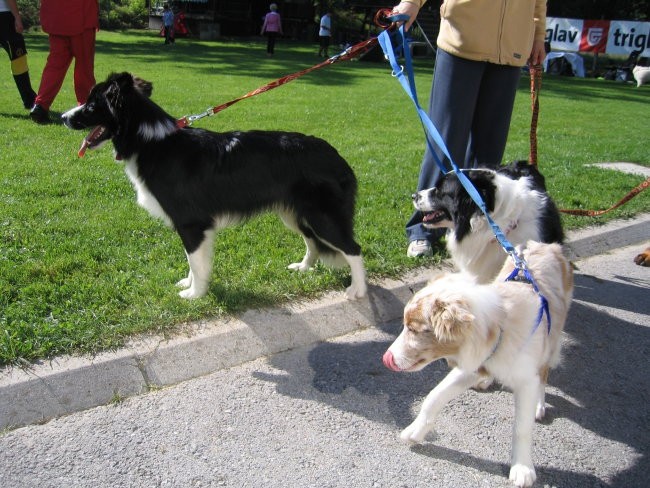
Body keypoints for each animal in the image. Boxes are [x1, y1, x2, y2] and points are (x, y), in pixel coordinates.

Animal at [62, 71, 364, 302]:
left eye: (91, 106)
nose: (63, 117)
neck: (149, 140)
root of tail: (337, 157)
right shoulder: (193, 225)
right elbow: (192, 261)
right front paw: (189, 285)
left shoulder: (191, 222)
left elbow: (196, 261)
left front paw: (195, 295)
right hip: (294, 213)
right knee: (312, 241)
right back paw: (303, 267)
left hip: (322, 216)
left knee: (353, 248)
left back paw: (357, 290)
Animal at [382, 242, 568, 486]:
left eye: (413, 329)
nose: (387, 357)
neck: (498, 330)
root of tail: (545, 246)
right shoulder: (470, 364)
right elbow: (433, 397)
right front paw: (414, 431)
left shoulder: (526, 379)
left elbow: (522, 427)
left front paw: (522, 469)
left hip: (552, 339)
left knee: (545, 373)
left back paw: (539, 405)